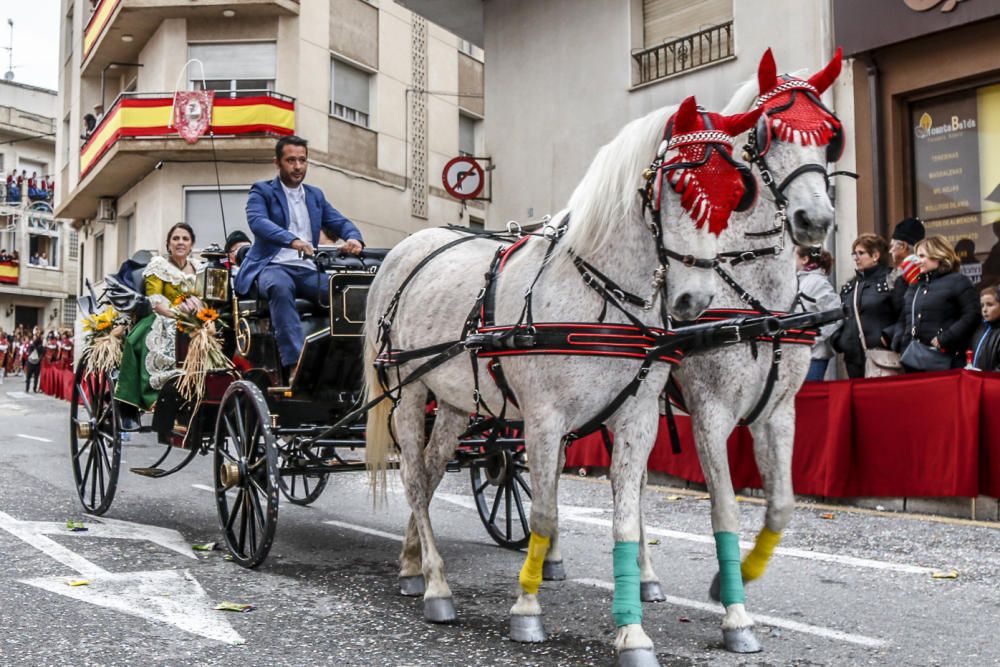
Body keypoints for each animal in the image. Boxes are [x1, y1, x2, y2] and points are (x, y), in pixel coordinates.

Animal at [364, 96, 760, 664]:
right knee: (415, 479)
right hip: (409, 390)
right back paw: (437, 586)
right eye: (680, 184)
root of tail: (403, 249)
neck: (599, 294)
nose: (694, 301)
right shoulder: (544, 420)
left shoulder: (636, 417)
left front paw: (632, 633)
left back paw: (412, 561)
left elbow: (626, 519)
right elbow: (546, 515)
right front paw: (527, 612)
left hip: (455, 400)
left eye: (736, 192)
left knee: (434, 471)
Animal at [652, 49, 848, 656]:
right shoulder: (711, 416)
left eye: (831, 135)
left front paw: (732, 580)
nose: (816, 221)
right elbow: (726, 509)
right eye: (766, 133)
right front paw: (736, 616)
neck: (752, 299)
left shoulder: (778, 413)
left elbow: (781, 504)